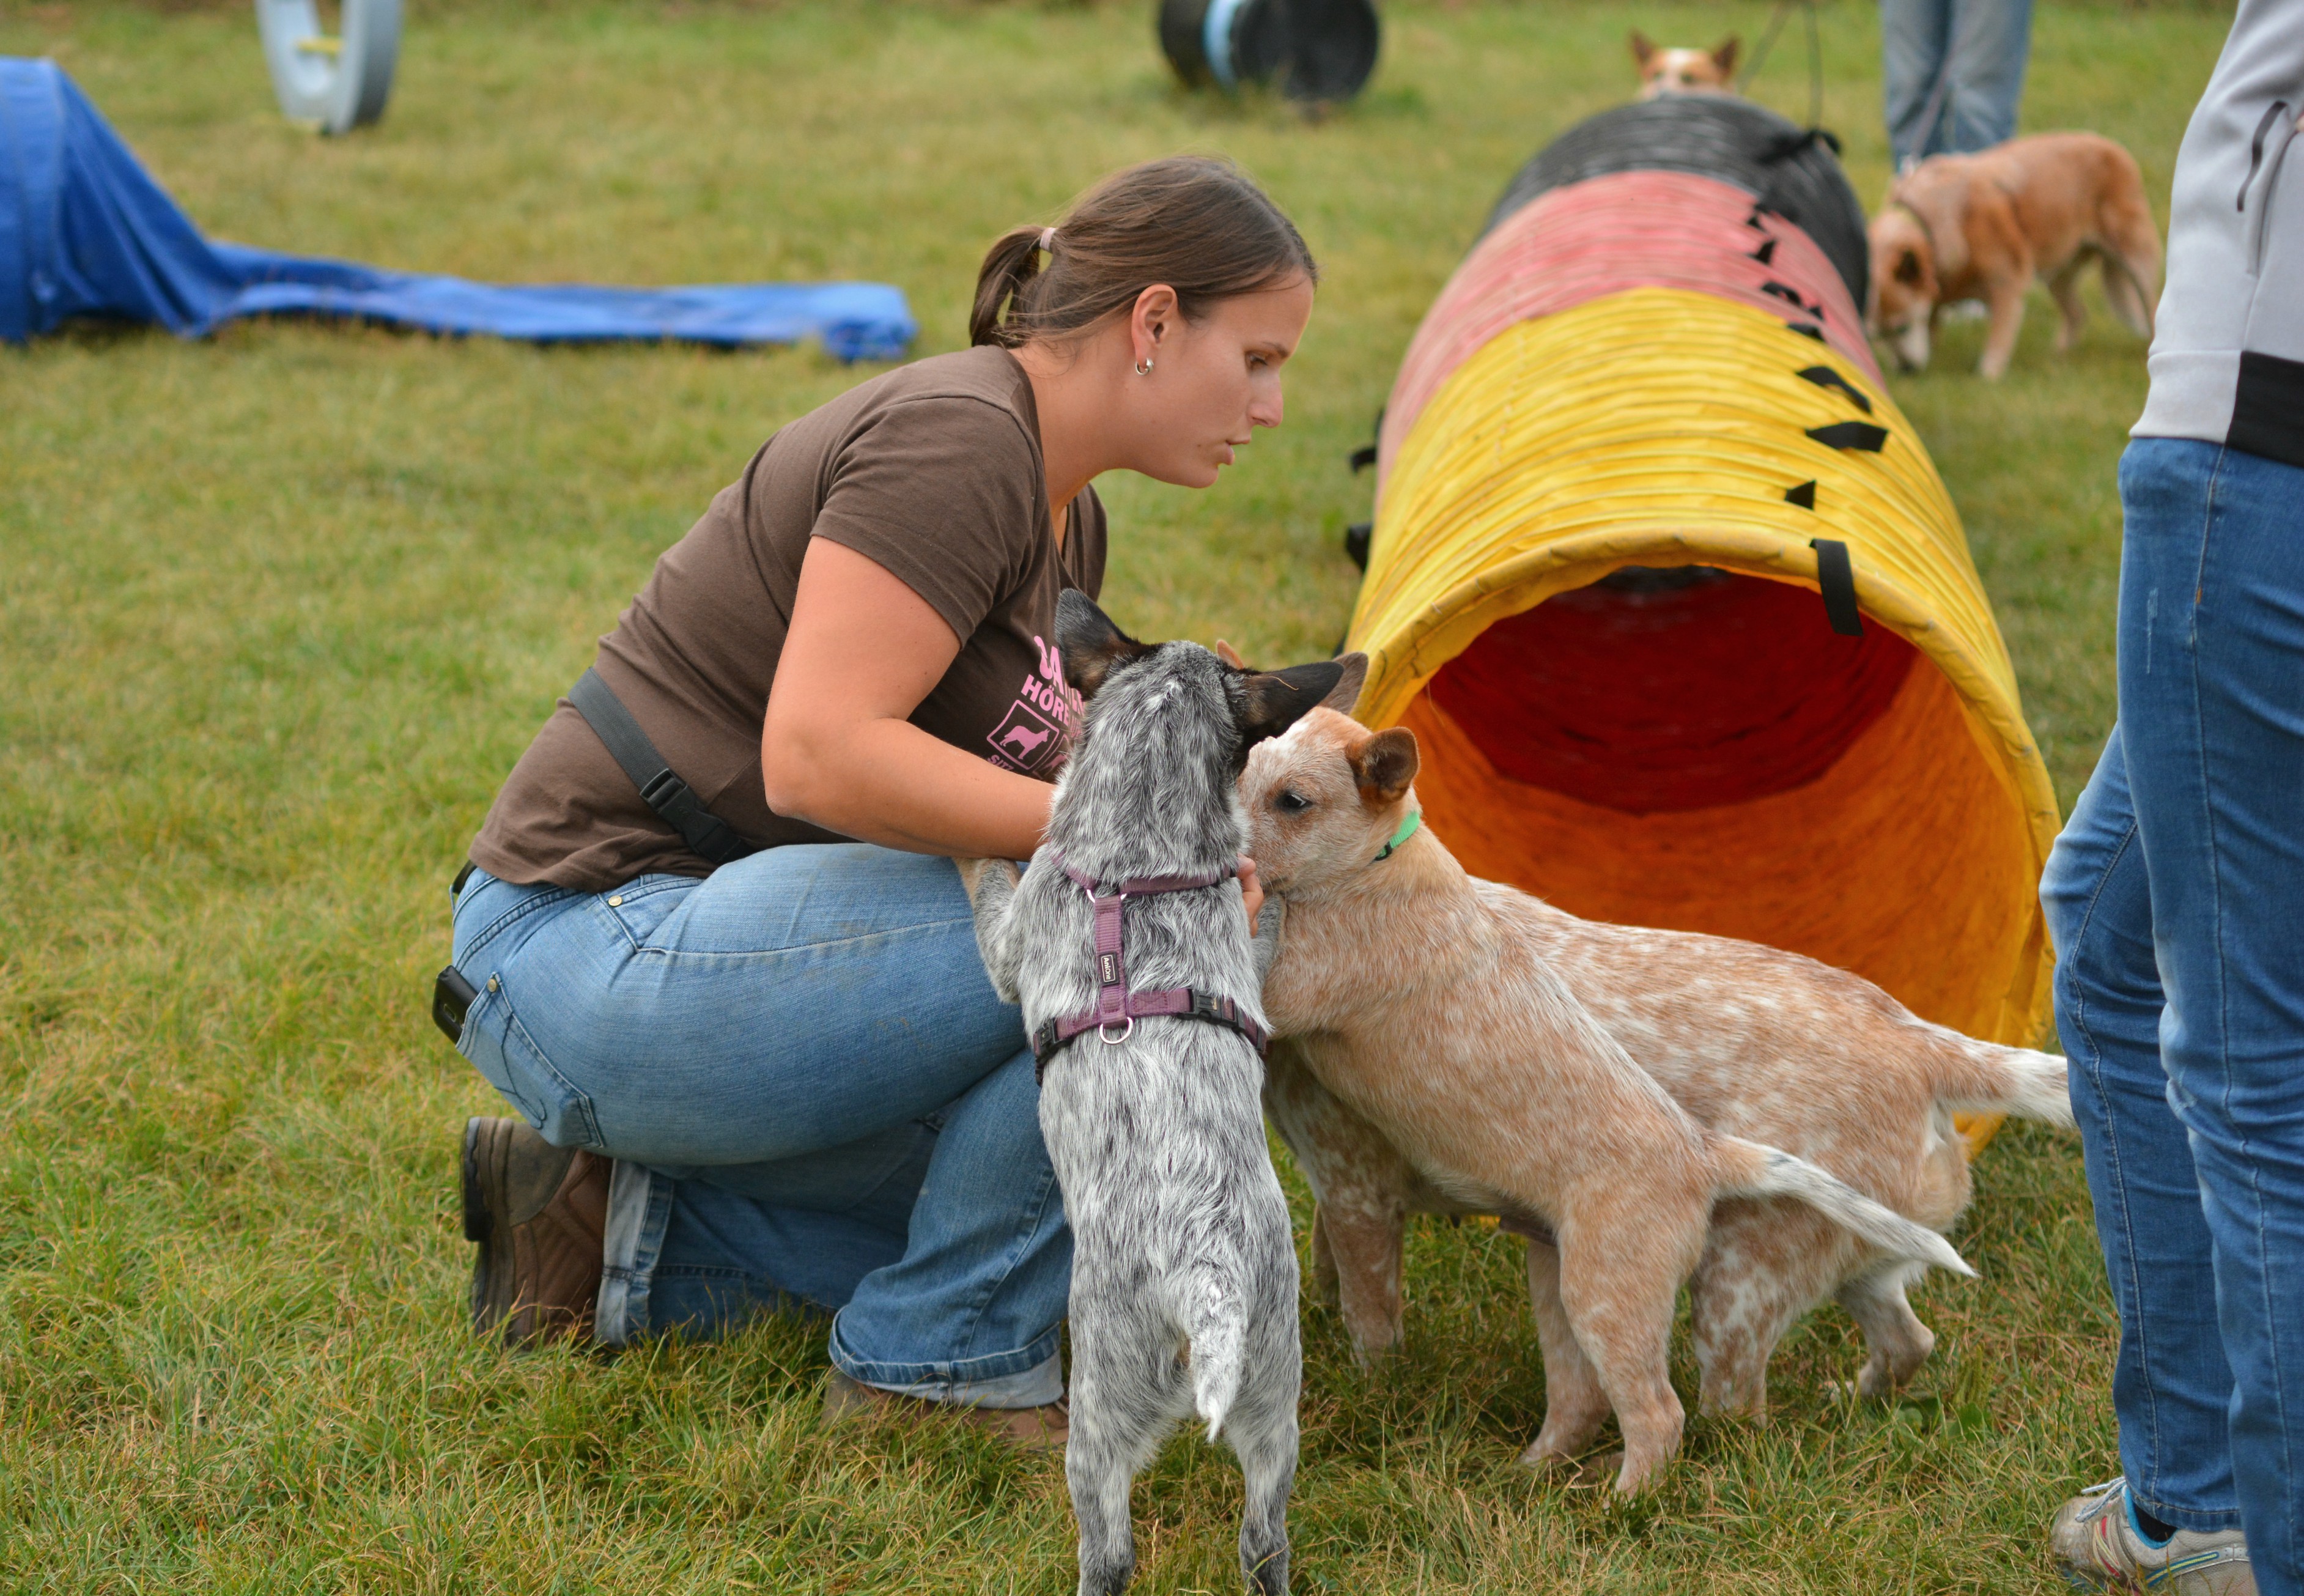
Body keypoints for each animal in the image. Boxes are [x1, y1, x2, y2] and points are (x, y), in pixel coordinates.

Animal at [958, 594, 1345, 1594]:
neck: (1137, 865)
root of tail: (1204, 1273)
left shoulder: (1013, 940)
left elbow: (991, 882)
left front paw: (972, 847)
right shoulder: (1243, 941)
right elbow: (1262, 935)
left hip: (1100, 1421)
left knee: (1110, 1553)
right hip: (1274, 1402)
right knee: (1265, 1541)